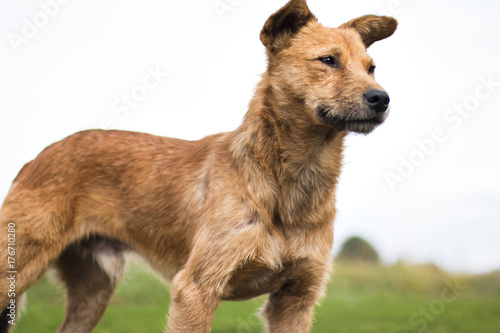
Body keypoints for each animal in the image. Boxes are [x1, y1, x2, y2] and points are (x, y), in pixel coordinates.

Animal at [0, 1, 398, 330]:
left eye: (371, 68)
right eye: (328, 60)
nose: (381, 98)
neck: (288, 181)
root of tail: (37, 157)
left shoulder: (297, 298)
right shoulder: (196, 289)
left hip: (92, 290)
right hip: (16, 267)